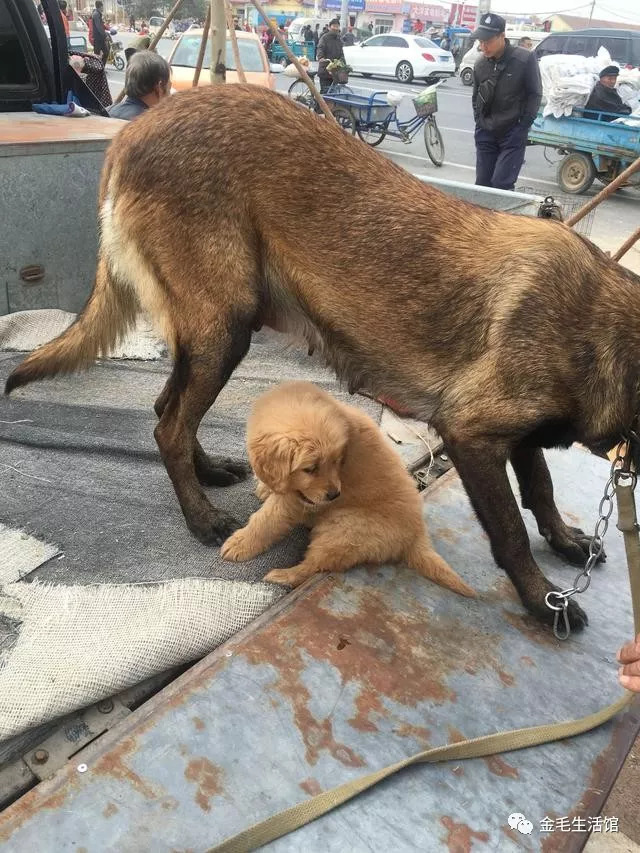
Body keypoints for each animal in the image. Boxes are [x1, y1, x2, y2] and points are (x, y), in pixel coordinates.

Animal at [221, 382, 476, 596]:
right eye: (310, 469)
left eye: (338, 461)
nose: (335, 495)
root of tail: (416, 536)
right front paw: (266, 488)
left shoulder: (297, 502)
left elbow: (266, 521)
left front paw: (240, 544)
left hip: (343, 527)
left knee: (316, 565)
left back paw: (283, 575)